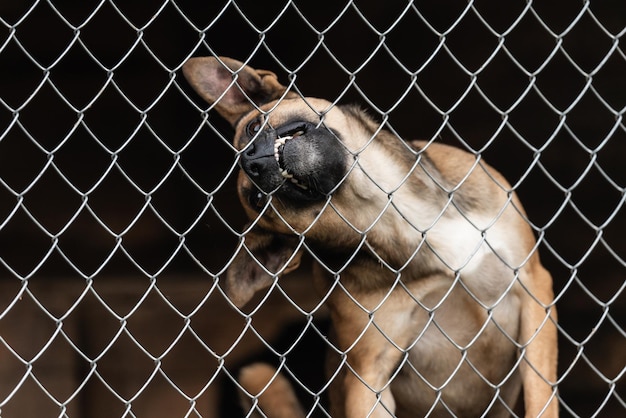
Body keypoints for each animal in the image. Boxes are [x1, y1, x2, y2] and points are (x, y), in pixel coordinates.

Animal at [180, 56, 556, 418]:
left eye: (254, 128)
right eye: (258, 200)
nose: (252, 162)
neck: (391, 207)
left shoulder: (533, 288)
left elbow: (541, 397)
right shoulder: (368, 377)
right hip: (260, 375)